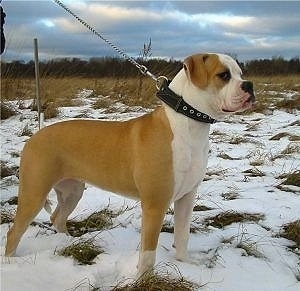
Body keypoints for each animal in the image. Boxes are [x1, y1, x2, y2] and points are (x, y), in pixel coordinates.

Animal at [4, 53, 254, 278]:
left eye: (240, 73)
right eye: (223, 75)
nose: (249, 85)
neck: (189, 123)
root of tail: (34, 137)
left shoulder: (187, 197)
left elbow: (182, 237)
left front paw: (185, 264)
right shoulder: (155, 204)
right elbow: (148, 252)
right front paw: (144, 279)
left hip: (72, 190)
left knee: (57, 217)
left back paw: (66, 242)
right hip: (34, 192)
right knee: (14, 232)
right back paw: (11, 263)